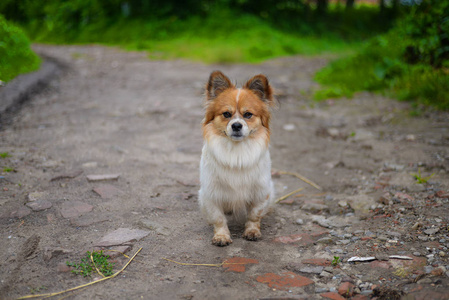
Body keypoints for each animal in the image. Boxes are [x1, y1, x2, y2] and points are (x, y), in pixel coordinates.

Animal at [198, 70, 274, 246]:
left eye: (248, 115)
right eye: (226, 114)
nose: (237, 125)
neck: (237, 151)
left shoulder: (261, 192)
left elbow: (254, 214)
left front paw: (252, 231)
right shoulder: (211, 194)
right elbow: (218, 218)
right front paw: (221, 236)